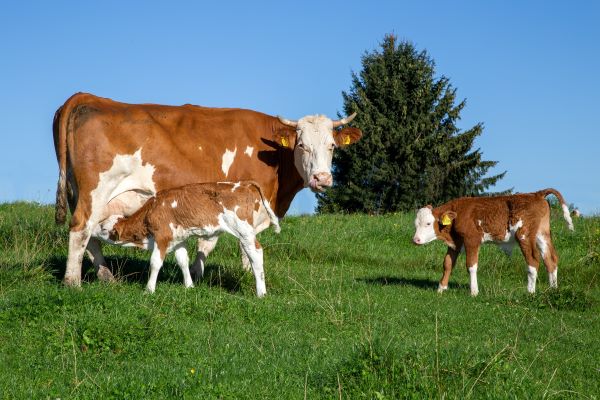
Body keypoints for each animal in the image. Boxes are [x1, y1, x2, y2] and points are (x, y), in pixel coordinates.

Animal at [96, 181, 278, 296]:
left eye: (103, 228)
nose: (93, 230)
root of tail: (245, 184)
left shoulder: (162, 237)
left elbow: (155, 263)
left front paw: (149, 289)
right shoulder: (179, 239)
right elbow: (183, 261)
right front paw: (189, 286)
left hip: (244, 232)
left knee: (256, 254)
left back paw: (261, 292)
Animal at [412, 189, 572, 296]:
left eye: (428, 223)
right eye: (416, 224)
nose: (415, 240)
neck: (459, 213)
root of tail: (536, 193)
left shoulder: (472, 239)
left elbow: (471, 266)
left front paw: (474, 292)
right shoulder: (456, 243)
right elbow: (447, 264)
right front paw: (441, 288)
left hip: (524, 236)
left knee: (533, 261)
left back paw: (530, 292)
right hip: (542, 235)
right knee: (550, 260)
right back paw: (552, 289)